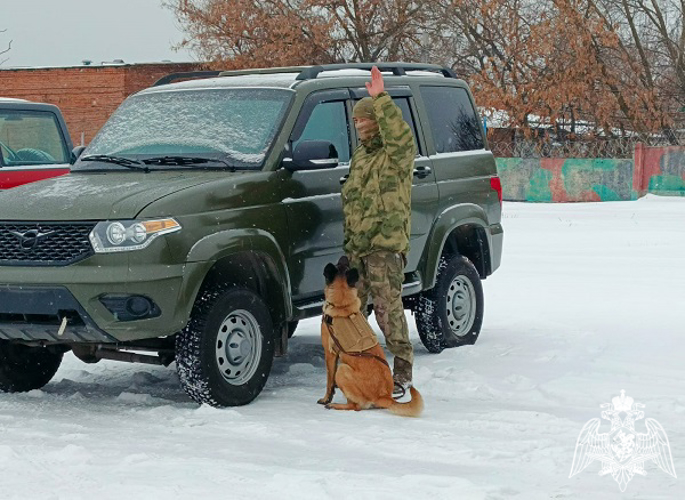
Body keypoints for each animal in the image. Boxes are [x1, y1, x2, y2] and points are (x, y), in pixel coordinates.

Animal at [316, 258, 422, 418]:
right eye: (343, 264)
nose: (344, 257)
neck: (343, 303)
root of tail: (385, 396)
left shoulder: (330, 354)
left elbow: (329, 380)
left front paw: (326, 398)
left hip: (342, 370)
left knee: (355, 406)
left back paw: (336, 405)